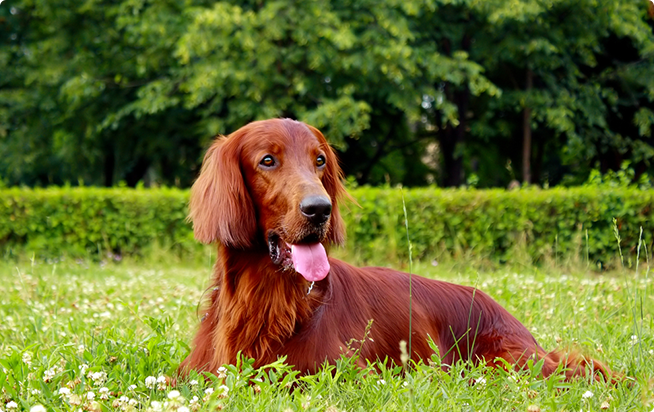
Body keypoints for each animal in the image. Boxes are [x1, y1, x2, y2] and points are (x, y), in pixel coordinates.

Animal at [177, 117, 612, 382]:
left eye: (319, 160)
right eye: (267, 160)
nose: (320, 209)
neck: (268, 296)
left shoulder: (340, 375)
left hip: (510, 362)